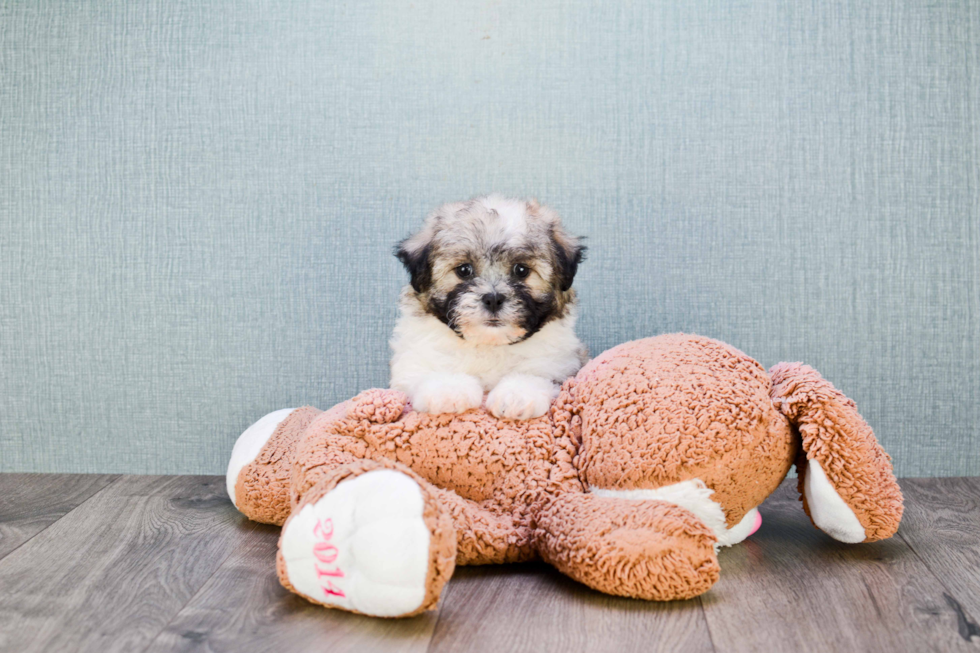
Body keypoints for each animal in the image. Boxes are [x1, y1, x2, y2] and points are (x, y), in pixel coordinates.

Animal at [390, 194, 588, 420]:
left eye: (521, 270)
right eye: (464, 270)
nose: (493, 299)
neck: (489, 344)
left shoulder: (559, 364)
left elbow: (535, 373)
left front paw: (516, 395)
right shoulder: (414, 360)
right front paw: (448, 389)